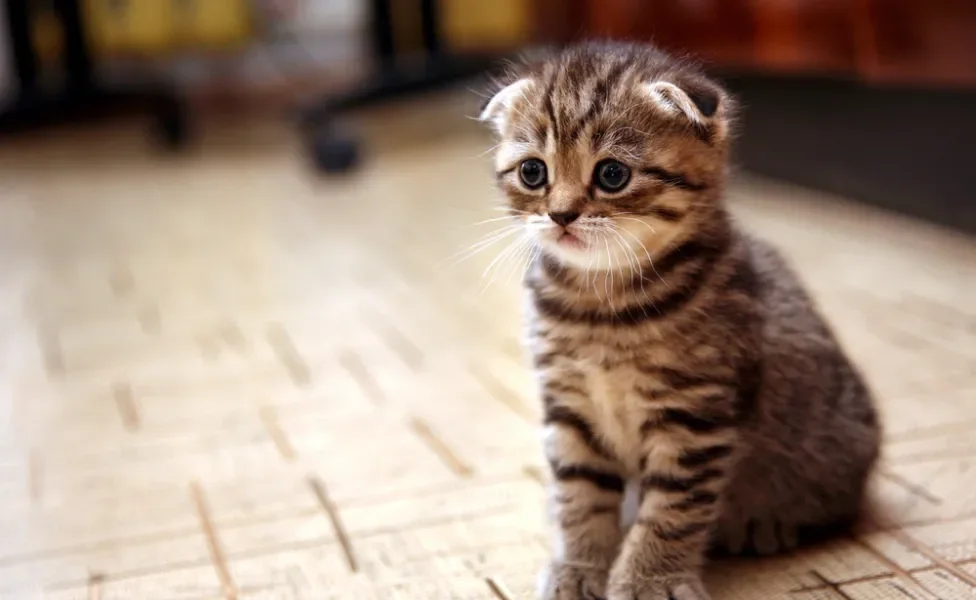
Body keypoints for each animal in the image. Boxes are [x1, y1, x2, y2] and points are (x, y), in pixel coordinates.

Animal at [476, 42, 880, 600]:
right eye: (533, 172)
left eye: (612, 175)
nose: (560, 215)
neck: (601, 307)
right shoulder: (570, 408)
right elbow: (580, 495)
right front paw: (577, 567)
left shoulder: (694, 417)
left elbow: (672, 508)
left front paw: (651, 579)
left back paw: (767, 523)